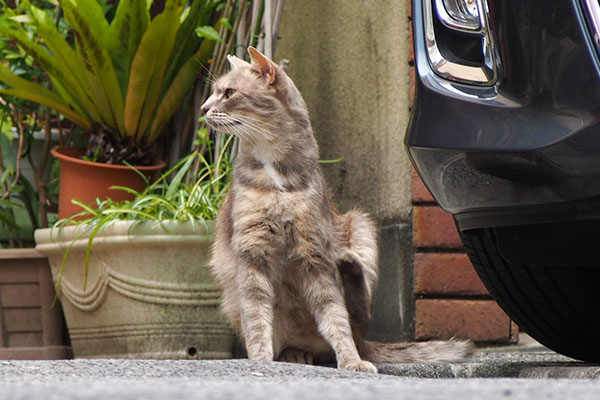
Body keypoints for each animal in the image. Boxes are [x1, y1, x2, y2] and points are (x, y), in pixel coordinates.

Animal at [203, 48, 474, 374]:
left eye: (229, 93)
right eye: (215, 92)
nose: (203, 109)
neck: (275, 173)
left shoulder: (314, 255)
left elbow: (334, 315)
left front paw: (351, 361)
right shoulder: (253, 253)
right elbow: (256, 315)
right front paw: (261, 360)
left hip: (360, 224)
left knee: (358, 316)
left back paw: (348, 271)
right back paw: (294, 354)